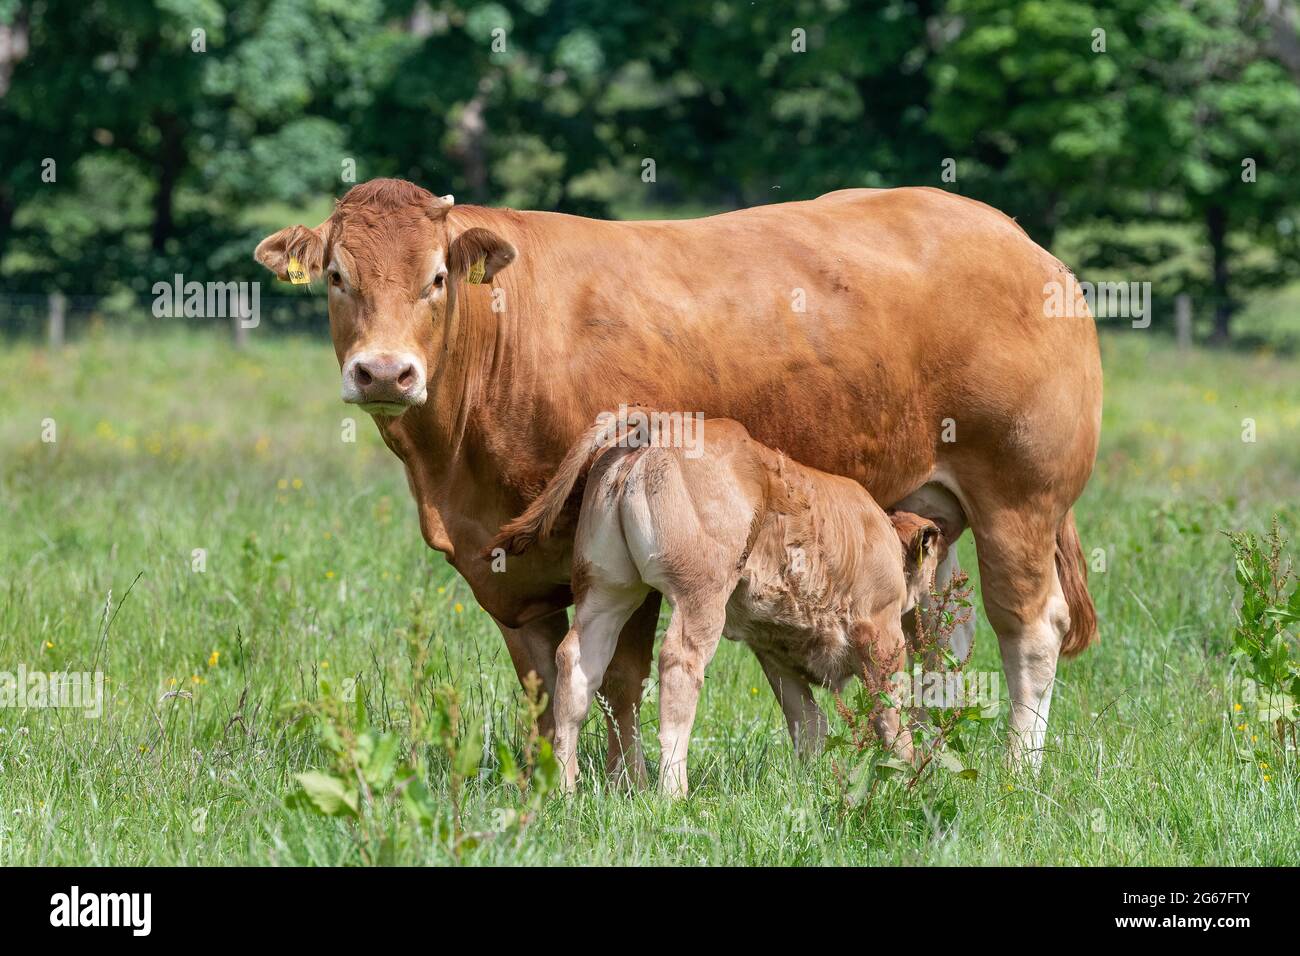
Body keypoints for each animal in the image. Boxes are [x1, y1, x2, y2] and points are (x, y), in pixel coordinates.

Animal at [492, 412, 948, 796]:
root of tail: (659, 425)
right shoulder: (882, 636)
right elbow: (889, 715)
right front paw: (909, 776)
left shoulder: (775, 649)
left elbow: (808, 724)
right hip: (701, 595)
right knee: (679, 664)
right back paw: (673, 794)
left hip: (606, 590)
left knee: (577, 664)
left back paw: (563, 791)